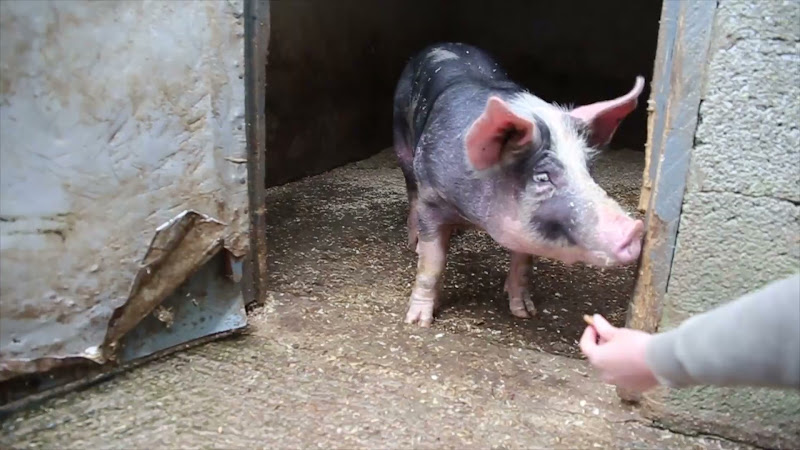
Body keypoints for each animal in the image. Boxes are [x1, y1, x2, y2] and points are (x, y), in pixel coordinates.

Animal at [392, 43, 645, 327]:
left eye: (588, 169)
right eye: (542, 176)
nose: (635, 228)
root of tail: (442, 44)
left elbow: (523, 262)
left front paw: (525, 312)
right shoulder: (431, 197)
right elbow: (431, 262)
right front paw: (417, 322)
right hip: (403, 146)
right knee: (410, 189)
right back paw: (414, 241)